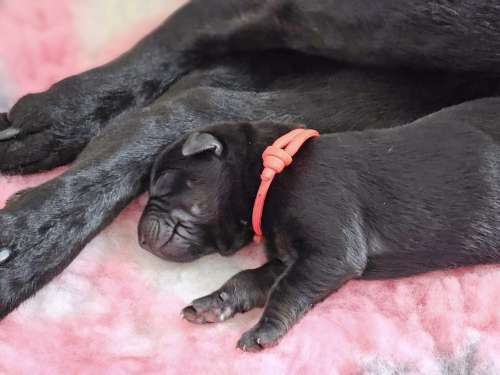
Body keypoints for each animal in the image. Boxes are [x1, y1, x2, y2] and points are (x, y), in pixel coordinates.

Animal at [138, 97, 500, 352]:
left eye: (162, 184)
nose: (139, 238)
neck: (271, 171)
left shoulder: (328, 246)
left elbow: (288, 287)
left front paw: (263, 330)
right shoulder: (287, 256)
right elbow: (252, 277)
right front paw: (215, 303)